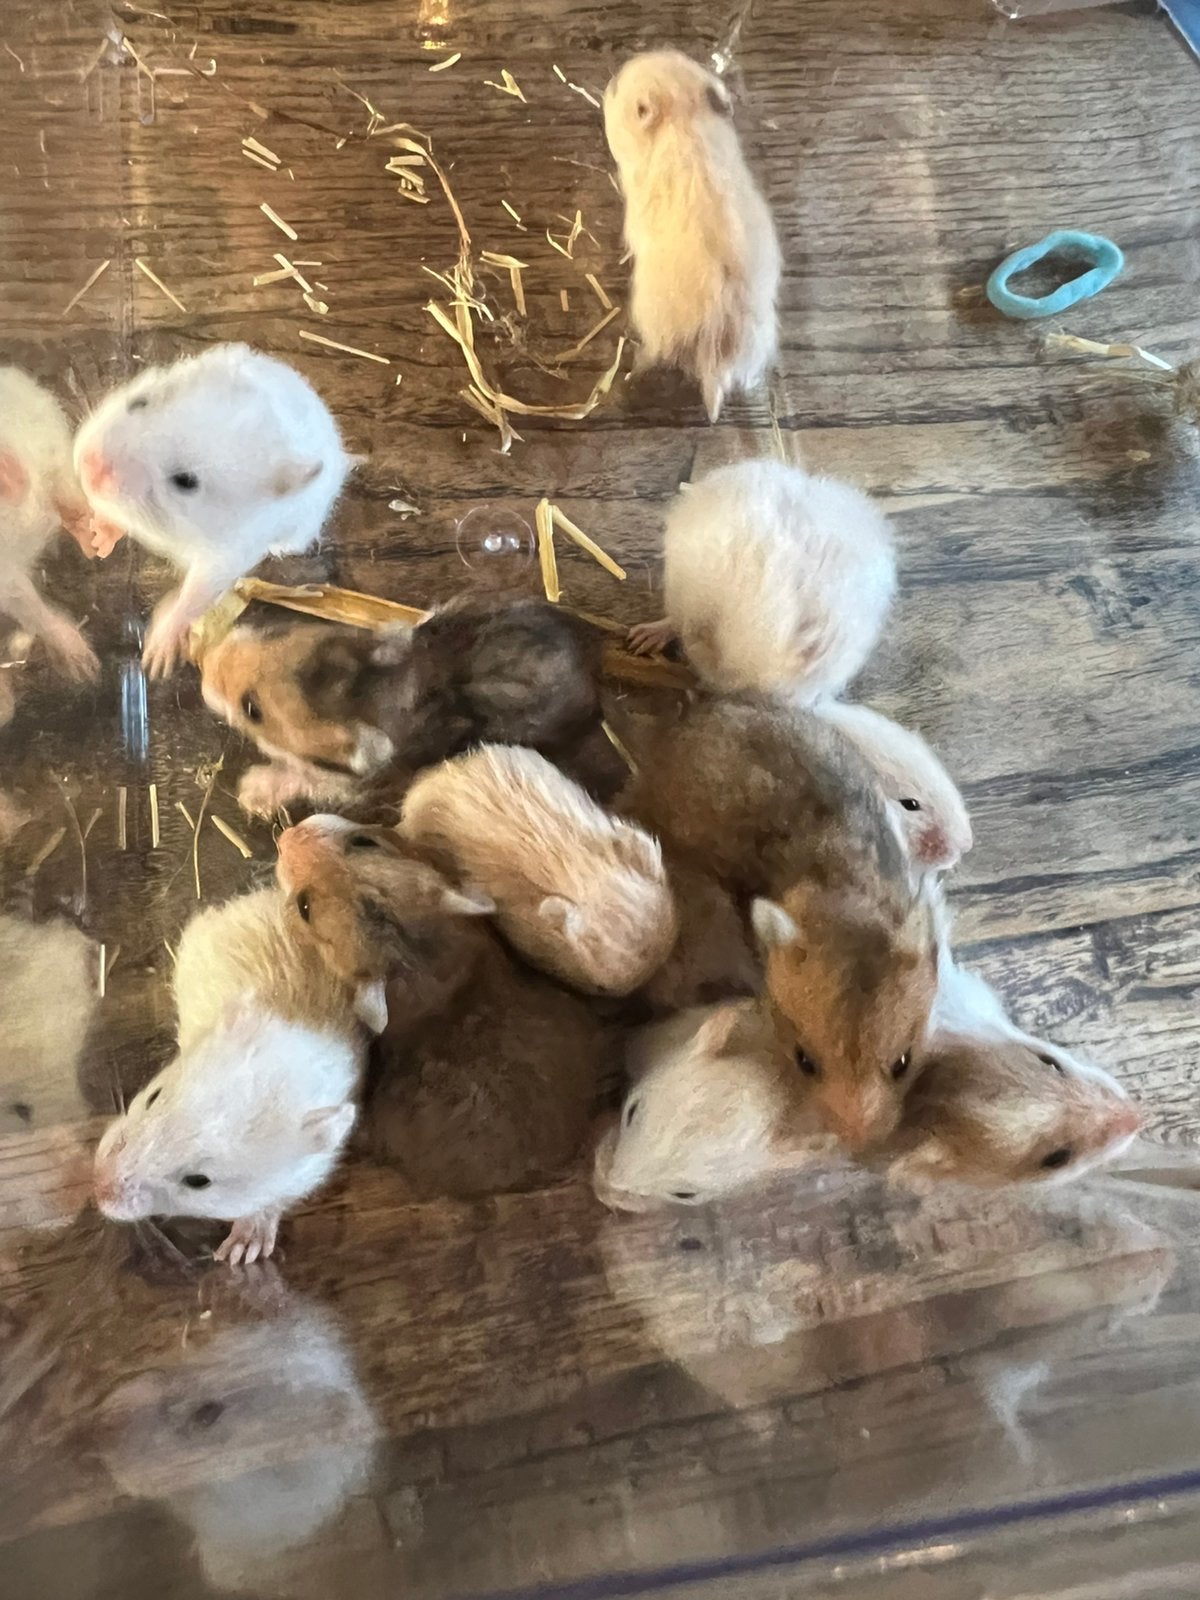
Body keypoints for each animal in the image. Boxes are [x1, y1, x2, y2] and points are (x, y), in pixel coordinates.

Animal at [0, 366, 99, 681]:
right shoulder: (5, 574)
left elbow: (65, 488)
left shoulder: (47, 443)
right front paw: (86, 671)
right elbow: (27, 602)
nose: (9, 473)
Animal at [74, 344, 352, 676]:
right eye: (138, 402)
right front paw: (97, 539)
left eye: (186, 481)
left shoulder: (225, 558)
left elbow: (194, 597)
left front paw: (156, 660)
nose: (88, 467)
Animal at [200, 594, 602, 814]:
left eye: (253, 710)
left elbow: (300, 778)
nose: (206, 668)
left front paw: (249, 793)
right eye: (278, 632)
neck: (374, 692)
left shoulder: (347, 782)